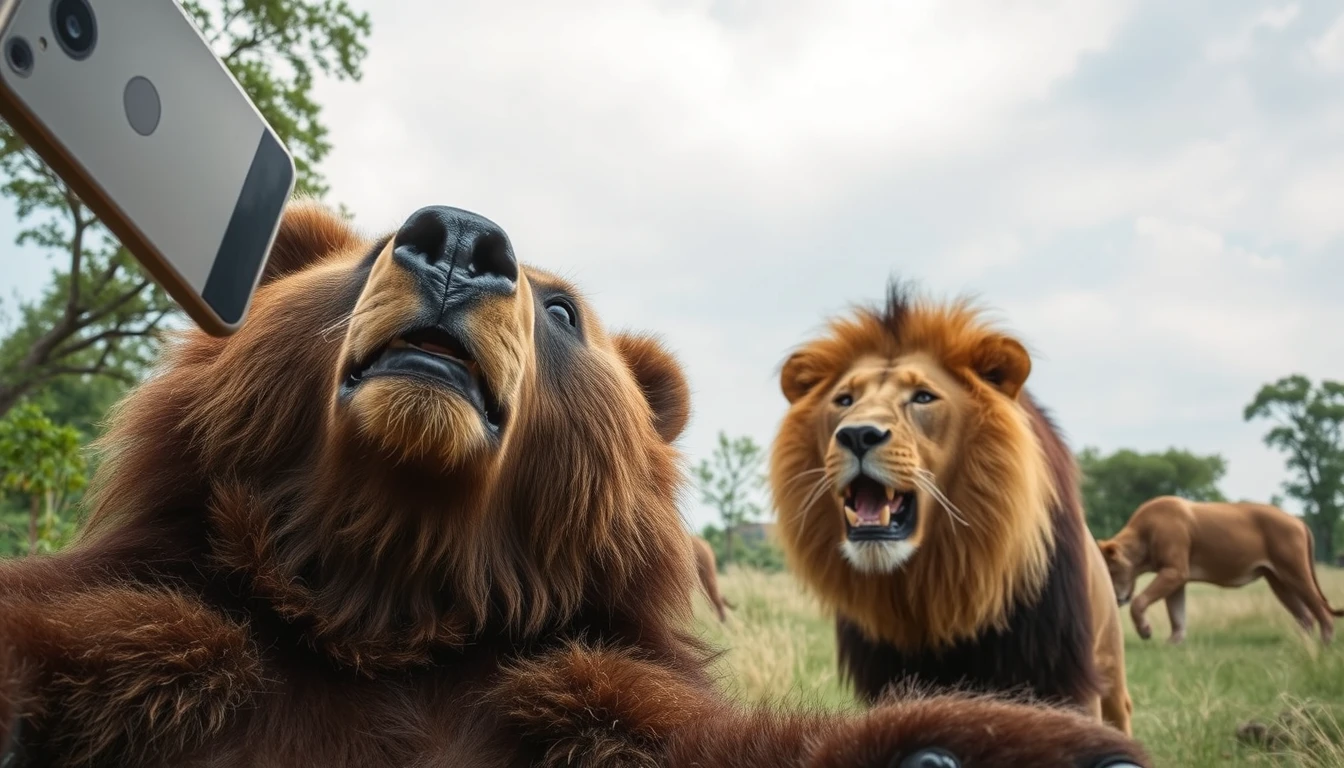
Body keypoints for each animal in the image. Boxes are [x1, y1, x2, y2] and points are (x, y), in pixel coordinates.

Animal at [1096, 494, 1338, 645]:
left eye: (1111, 572)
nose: (1114, 599)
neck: (1143, 536)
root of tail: (1297, 520)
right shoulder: (1176, 578)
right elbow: (1177, 615)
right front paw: (1174, 643)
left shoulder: (1174, 571)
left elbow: (1139, 602)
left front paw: (1145, 631)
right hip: (1279, 581)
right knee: (1306, 615)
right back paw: (1301, 644)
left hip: (1295, 572)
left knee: (1321, 611)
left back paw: (1324, 643)